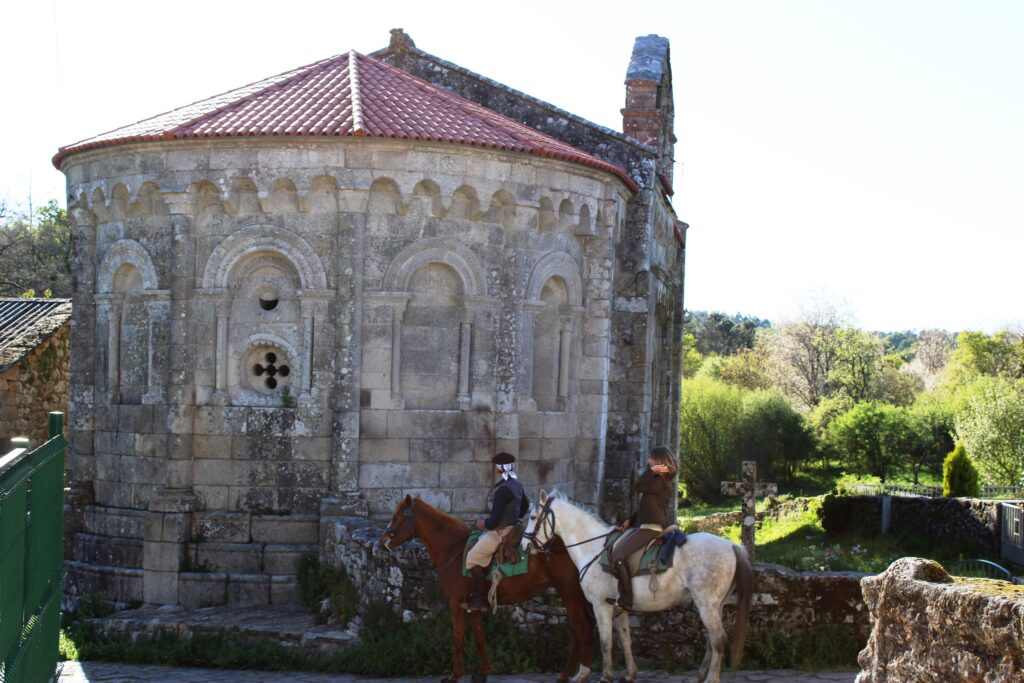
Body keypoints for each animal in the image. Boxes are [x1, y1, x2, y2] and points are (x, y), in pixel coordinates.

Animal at [382, 497, 593, 683]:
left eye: (396, 516)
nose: (384, 539)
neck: (453, 549)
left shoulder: (456, 603)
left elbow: (458, 637)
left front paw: (454, 675)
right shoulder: (474, 605)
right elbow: (478, 637)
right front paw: (483, 673)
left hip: (570, 594)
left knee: (580, 631)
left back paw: (571, 674)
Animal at [528, 489, 753, 683]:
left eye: (531, 517)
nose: (525, 545)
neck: (592, 548)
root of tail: (732, 545)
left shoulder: (601, 606)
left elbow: (605, 642)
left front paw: (606, 677)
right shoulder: (618, 607)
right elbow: (625, 641)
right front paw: (630, 674)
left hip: (706, 604)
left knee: (718, 639)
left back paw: (711, 679)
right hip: (716, 605)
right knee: (711, 641)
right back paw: (698, 676)